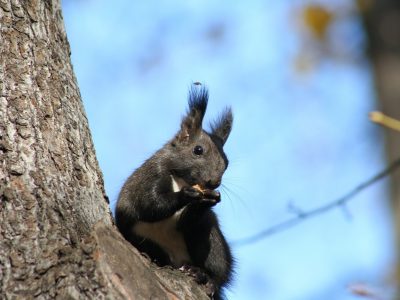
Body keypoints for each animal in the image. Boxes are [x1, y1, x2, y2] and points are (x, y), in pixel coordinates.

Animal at [115, 83, 234, 298]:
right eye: (198, 150)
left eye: (227, 162)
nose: (214, 183)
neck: (181, 179)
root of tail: (179, 261)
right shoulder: (148, 178)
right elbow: (151, 204)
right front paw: (187, 195)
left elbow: (186, 220)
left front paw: (205, 202)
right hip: (144, 240)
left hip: (212, 242)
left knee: (218, 273)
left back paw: (205, 277)